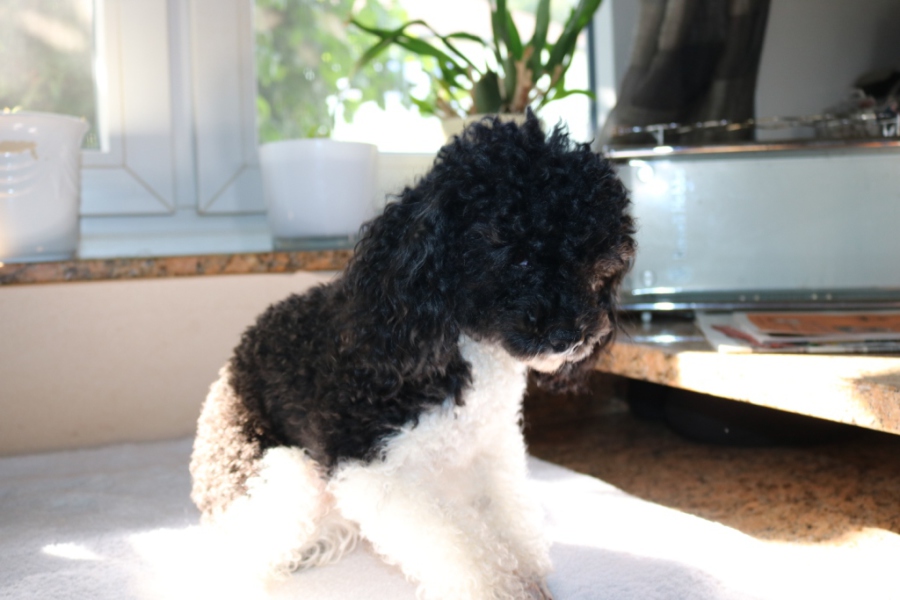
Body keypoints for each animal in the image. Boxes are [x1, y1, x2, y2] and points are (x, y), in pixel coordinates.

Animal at [189, 113, 635, 600]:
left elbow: (508, 521)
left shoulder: (487, 448)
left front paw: (528, 576)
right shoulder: (372, 465)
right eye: (516, 256)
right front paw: (500, 588)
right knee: (241, 552)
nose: (572, 335)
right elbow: (461, 549)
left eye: (595, 262)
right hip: (282, 474)